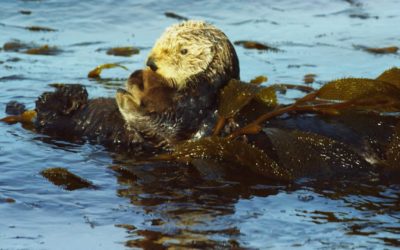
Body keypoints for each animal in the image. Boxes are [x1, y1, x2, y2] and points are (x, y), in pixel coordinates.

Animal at [3, 19, 239, 151]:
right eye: (159, 41)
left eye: (184, 51)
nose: (151, 64)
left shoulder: (194, 117)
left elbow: (163, 131)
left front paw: (128, 93)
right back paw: (75, 93)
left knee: (46, 106)